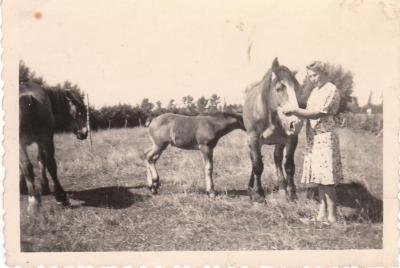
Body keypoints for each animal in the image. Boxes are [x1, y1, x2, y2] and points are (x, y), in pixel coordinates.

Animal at [19, 81, 88, 214]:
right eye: (78, 111)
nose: (85, 132)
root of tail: (27, 97)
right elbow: (41, 160)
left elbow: (40, 160)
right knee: (48, 163)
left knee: (34, 164)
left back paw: (36, 200)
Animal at [242, 58, 304, 201]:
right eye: (279, 88)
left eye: (297, 89)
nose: (296, 123)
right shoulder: (253, 139)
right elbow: (258, 166)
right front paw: (259, 195)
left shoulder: (291, 139)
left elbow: (289, 166)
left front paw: (292, 194)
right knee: (254, 160)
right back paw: (251, 188)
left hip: (279, 142)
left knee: (277, 158)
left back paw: (282, 187)